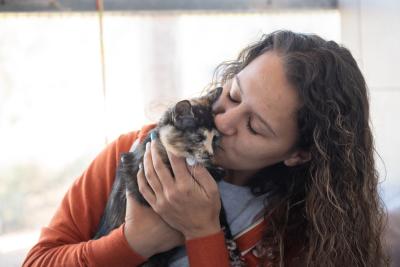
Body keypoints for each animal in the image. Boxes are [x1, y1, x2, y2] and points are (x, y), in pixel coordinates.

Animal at [93, 87, 244, 266]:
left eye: (215, 138)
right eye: (198, 138)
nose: (210, 154)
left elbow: (221, 216)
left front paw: (234, 252)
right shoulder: (140, 176)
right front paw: (215, 171)